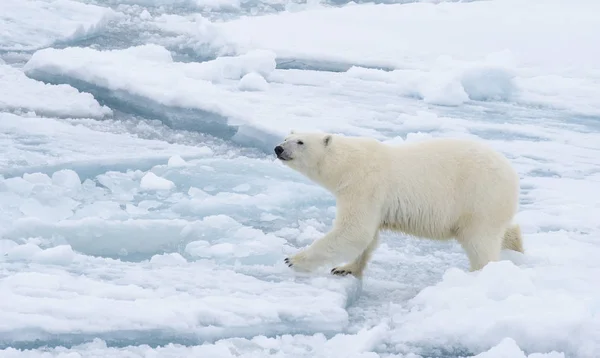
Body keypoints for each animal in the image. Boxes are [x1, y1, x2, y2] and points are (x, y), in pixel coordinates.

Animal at [274, 132, 524, 280]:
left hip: (479, 197)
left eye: (300, 142)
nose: (278, 148)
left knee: (480, 241)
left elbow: (354, 231)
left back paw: (477, 274)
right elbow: (367, 236)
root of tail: (511, 174)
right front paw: (345, 267)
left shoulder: (365, 186)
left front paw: (293, 260)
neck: (347, 164)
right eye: (287, 135)